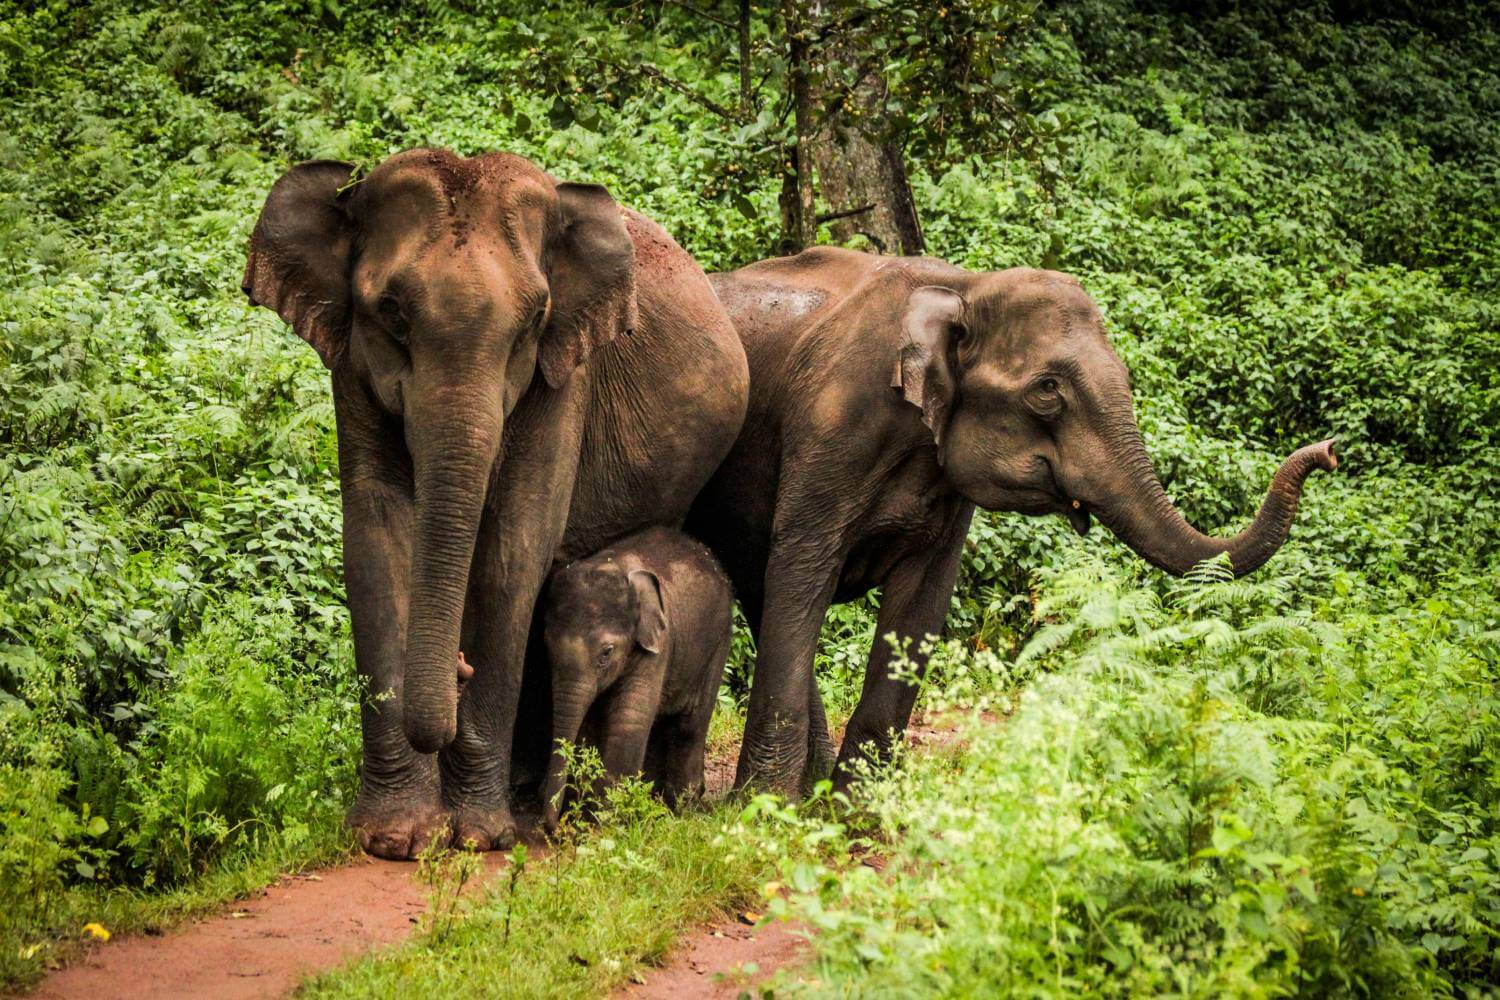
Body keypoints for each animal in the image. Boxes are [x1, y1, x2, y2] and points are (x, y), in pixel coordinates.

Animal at [540, 527, 732, 833]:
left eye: (607, 653)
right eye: (547, 646)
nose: (551, 827)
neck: (613, 565)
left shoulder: (658, 644)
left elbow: (629, 719)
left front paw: (607, 819)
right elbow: (590, 723)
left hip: (718, 640)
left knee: (690, 724)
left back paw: (683, 804)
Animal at [687, 248, 1344, 797]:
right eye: (1047, 390)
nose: (1331, 450)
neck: (965, 287)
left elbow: (921, 603)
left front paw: (857, 813)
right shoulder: (832, 430)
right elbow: (803, 576)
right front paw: (762, 812)